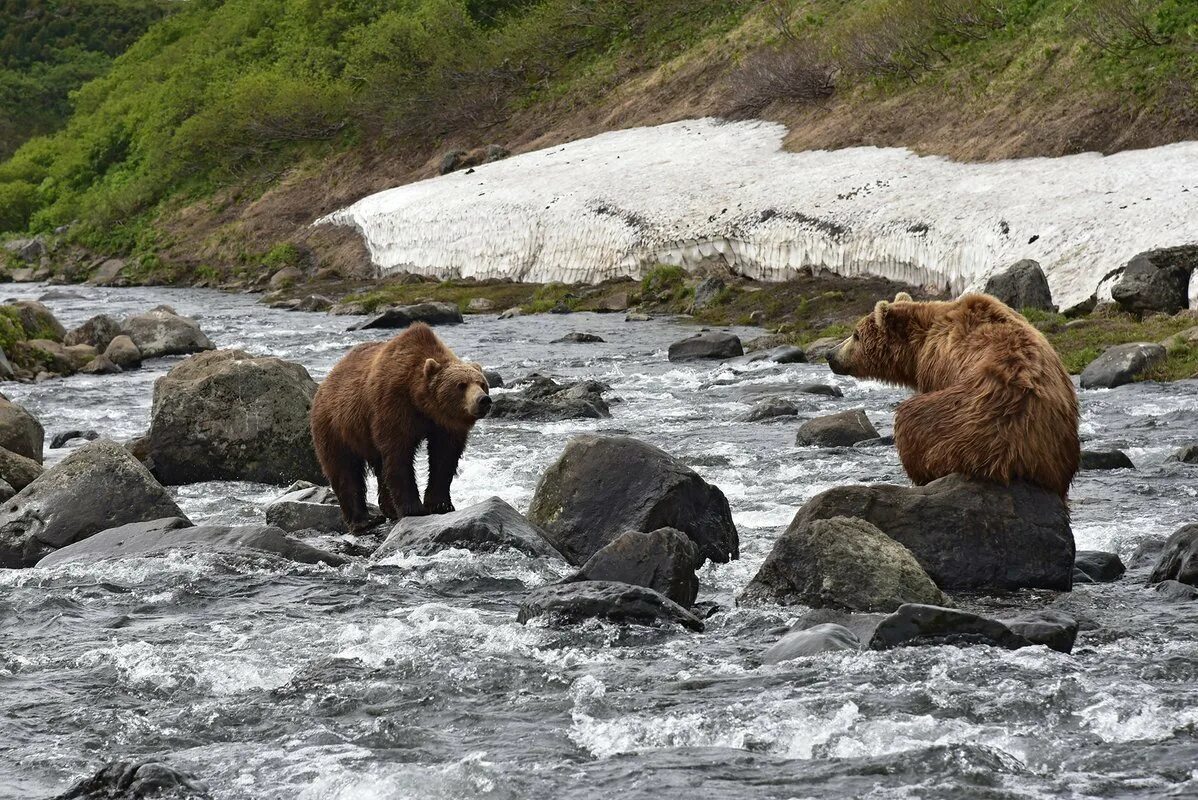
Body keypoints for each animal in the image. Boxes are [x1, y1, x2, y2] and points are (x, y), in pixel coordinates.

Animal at [313, 320, 495, 526]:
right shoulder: (393, 405)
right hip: (335, 425)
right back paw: (364, 520)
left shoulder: (445, 424)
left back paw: (388, 510)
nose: (483, 400)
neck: (421, 401)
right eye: (461, 385)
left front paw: (441, 505)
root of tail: (326, 380)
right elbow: (399, 455)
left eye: (482, 383)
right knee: (344, 470)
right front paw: (413, 509)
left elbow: (444, 457)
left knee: (378, 468)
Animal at [829, 291, 1082, 495]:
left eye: (856, 335)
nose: (830, 354)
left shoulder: (937, 368)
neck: (920, 345)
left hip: (967, 421)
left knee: (910, 420)